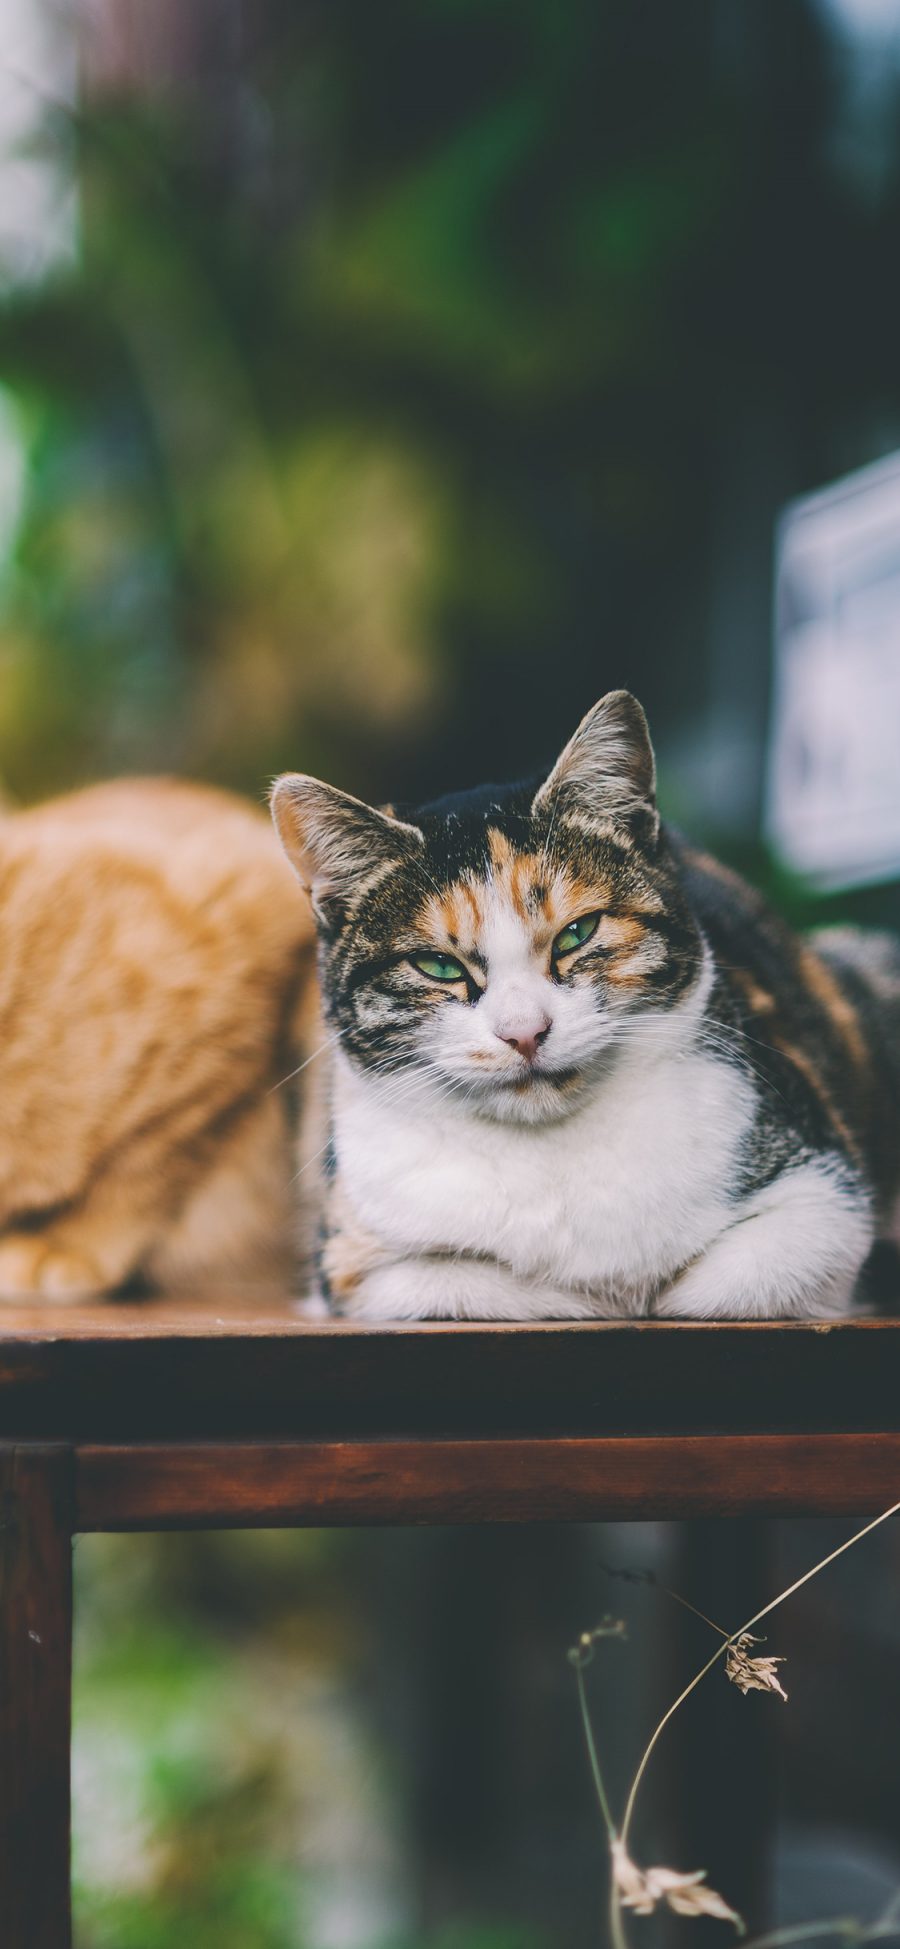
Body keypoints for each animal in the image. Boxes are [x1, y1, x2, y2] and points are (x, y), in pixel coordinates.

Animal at [270, 689, 900, 1325]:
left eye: (578, 932)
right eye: (438, 966)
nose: (525, 1032)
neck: (552, 1153)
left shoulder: (824, 1201)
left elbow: (724, 1285)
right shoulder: (352, 1262)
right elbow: (484, 1283)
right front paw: (595, 1289)